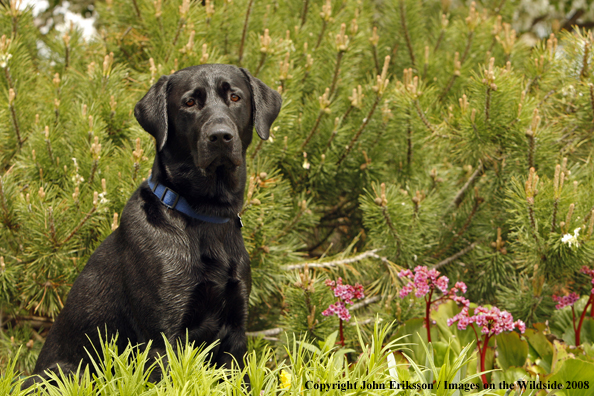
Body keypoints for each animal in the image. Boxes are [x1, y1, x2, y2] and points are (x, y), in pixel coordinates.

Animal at [23, 64, 282, 386]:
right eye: (189, 102)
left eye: (235, 97)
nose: (220, 136)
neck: (206, 216)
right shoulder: (163, 338)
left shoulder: (235, 332)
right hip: (66, 373)